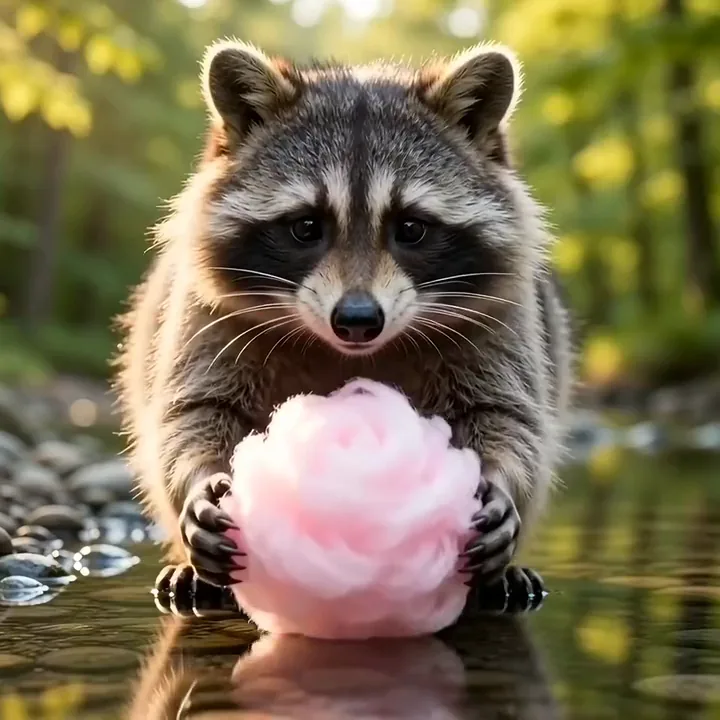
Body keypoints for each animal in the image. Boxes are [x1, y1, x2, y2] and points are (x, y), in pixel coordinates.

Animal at [114, 40, 572, 598]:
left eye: (411, 228)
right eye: (306, 227)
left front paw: (502, 479)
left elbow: (509, 416)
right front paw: (200, 477)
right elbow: (192, 413)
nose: (357, 318)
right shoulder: (204, 316)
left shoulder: (504, 318)